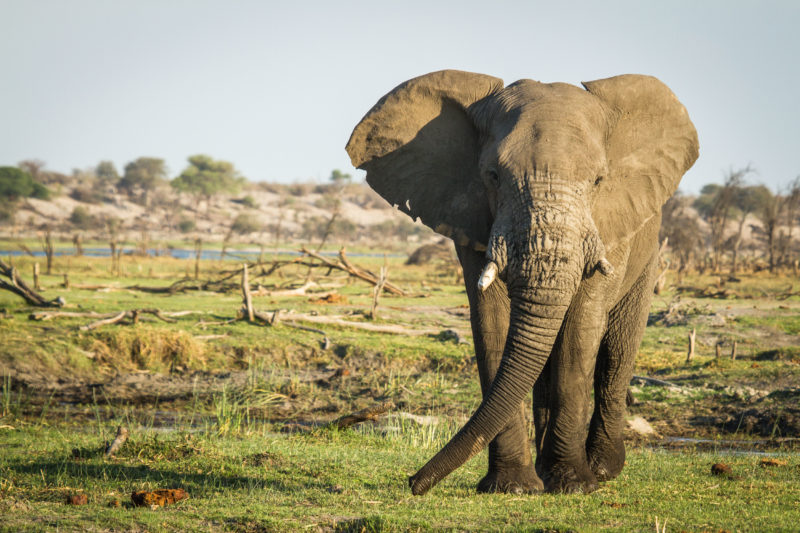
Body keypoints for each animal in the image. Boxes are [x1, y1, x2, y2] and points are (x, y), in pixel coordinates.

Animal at [346, 69, 696, 494]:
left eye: (599, 181)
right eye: (493, 176)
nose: (413, 482)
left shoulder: (610, 227)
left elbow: (580, 331)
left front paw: (575, 486)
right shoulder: (473, 219)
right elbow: (492, 324)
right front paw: (512, 487)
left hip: (648, 255)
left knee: (616, 355)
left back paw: (602, 470)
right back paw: (549, 473)